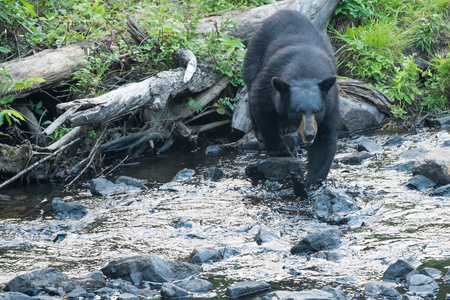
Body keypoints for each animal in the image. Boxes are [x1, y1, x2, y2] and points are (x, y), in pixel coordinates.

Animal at [243, 9, 338, 186]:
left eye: (317, 111)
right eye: (298, 111)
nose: (309, 134)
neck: (305, 70)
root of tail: (282, 11)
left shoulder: (330, 103)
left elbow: (325, 138)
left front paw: (313, 181)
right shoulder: (269, 82)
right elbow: (260, 106)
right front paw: (280, 151)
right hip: (253, 58)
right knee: (250, 88)